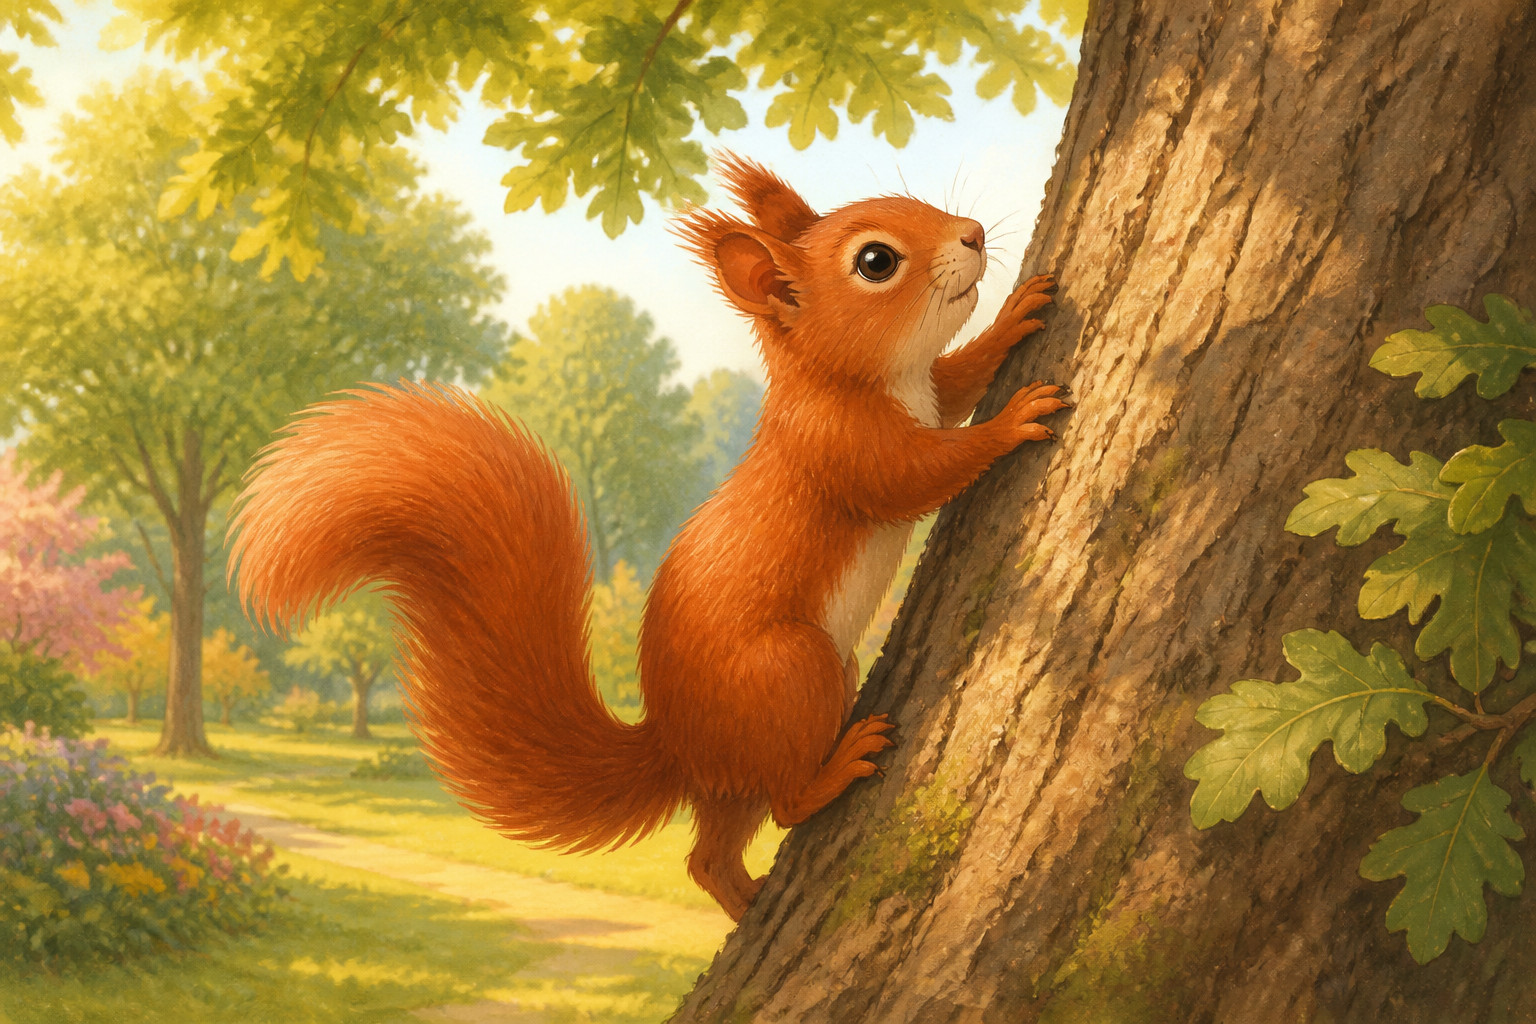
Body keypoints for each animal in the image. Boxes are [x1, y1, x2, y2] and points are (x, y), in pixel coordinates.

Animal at [227, 154, 1067, 921]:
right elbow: (923, 473)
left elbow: (955, 382)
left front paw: (1015, 317)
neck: (860, 380)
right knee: (782, 804)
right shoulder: (841, 449)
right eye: (875, 261)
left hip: (762, 740)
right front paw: (1013, 422)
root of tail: (677, 742)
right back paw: (835, 773)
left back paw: (746, 904)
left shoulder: (926, 393)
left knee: (708, 855)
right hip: (786, 673)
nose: (973, 233)